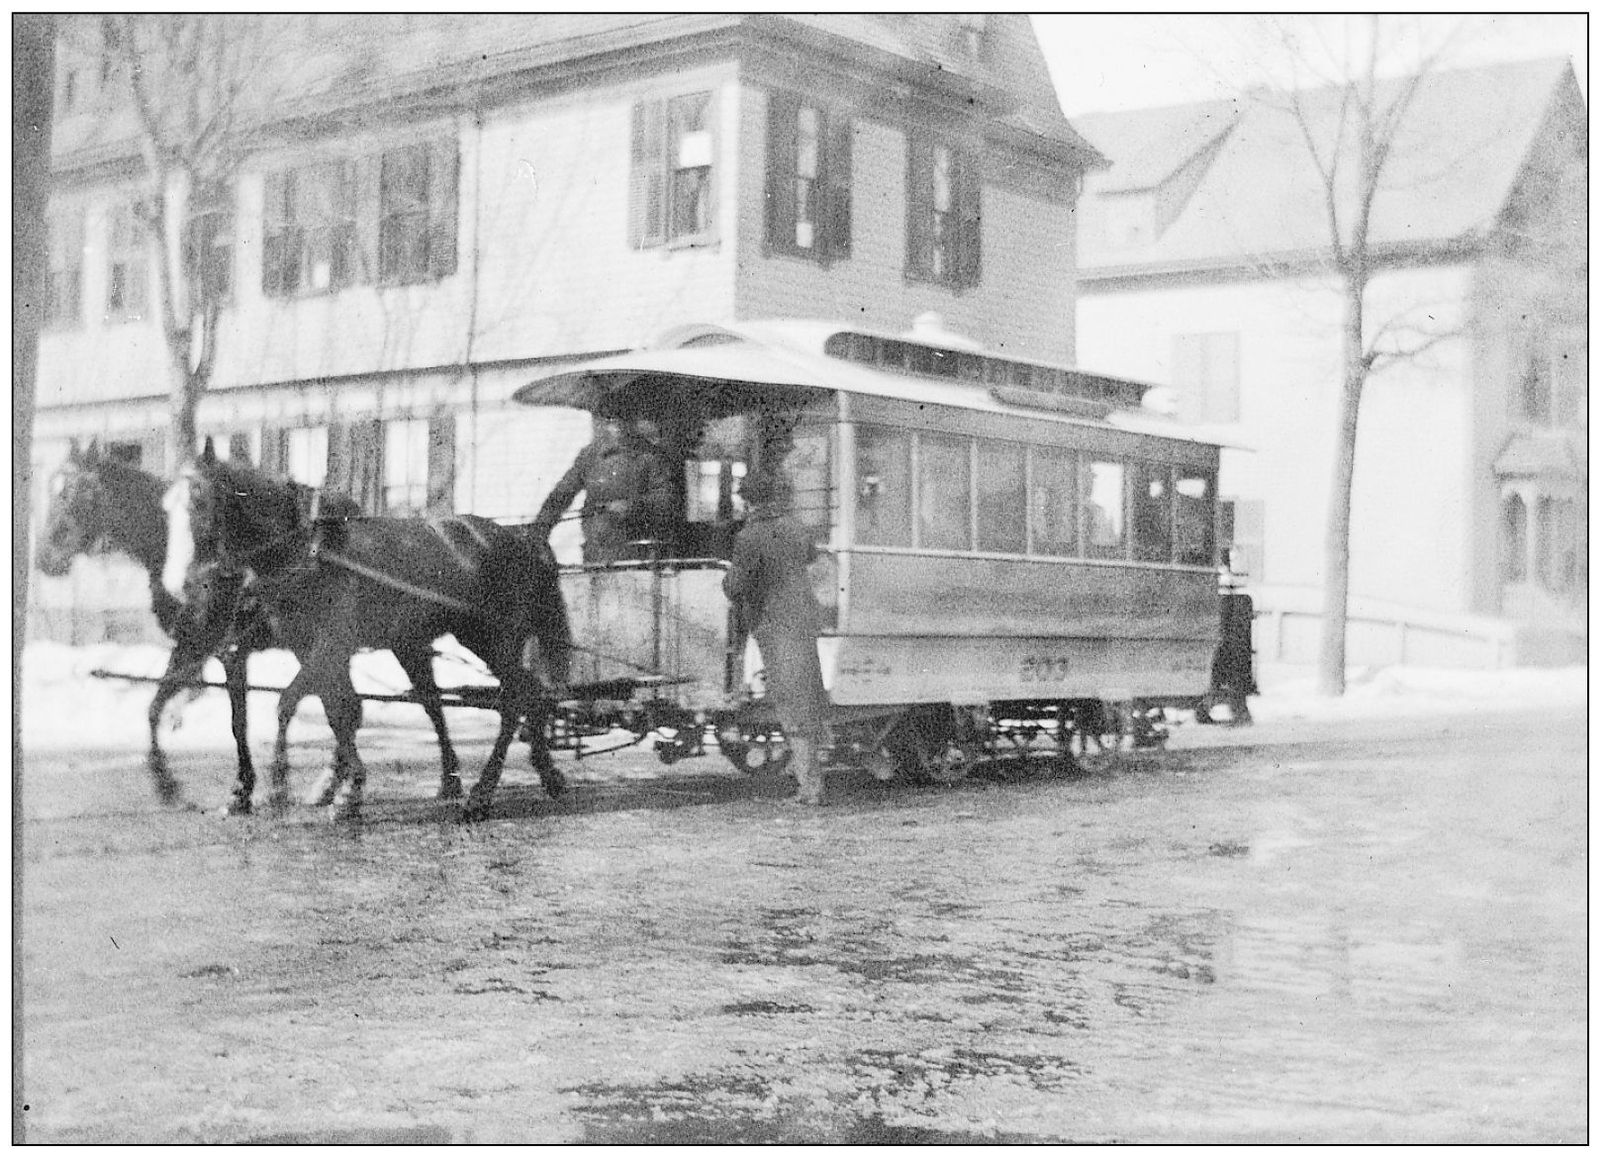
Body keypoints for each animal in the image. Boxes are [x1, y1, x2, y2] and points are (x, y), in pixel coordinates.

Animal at [34, 440, 271, 810]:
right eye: (52, 487)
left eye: (79, 493)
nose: (45, 558)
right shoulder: (193, 648)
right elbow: (155, 706)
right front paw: (166, 781)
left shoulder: (221, 649)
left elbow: (237, 721)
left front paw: (238, 788)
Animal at [163, 440, 572, 820]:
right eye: (166, 507)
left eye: (199, 502)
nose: (183, 584)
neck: (305, 551)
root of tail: (524, 539)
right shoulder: (304, 647)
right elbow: (335, 710)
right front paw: (341, 787)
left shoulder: (330, 644)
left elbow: (291, 703)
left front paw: (286, 786)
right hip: (439, 641)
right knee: (515, 693)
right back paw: (541, 774)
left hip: (492, 638)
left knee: (516, 697)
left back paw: (482, 794)